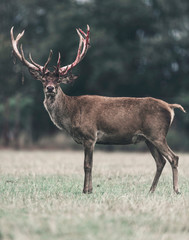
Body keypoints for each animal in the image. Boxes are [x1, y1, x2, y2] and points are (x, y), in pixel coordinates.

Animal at [9, 26, 185, 194]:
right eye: (44, 80)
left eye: (58, 80)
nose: (50, 88)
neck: (71, 114)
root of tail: (170, 107)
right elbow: (89, 165)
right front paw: (89, 189)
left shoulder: (90, 136)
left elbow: (87, 165)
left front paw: (86, 190)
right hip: (149, 138)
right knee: (160, 161)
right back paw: (151, 190)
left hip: (157, 133)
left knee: (174, 157)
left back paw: (176, 190)